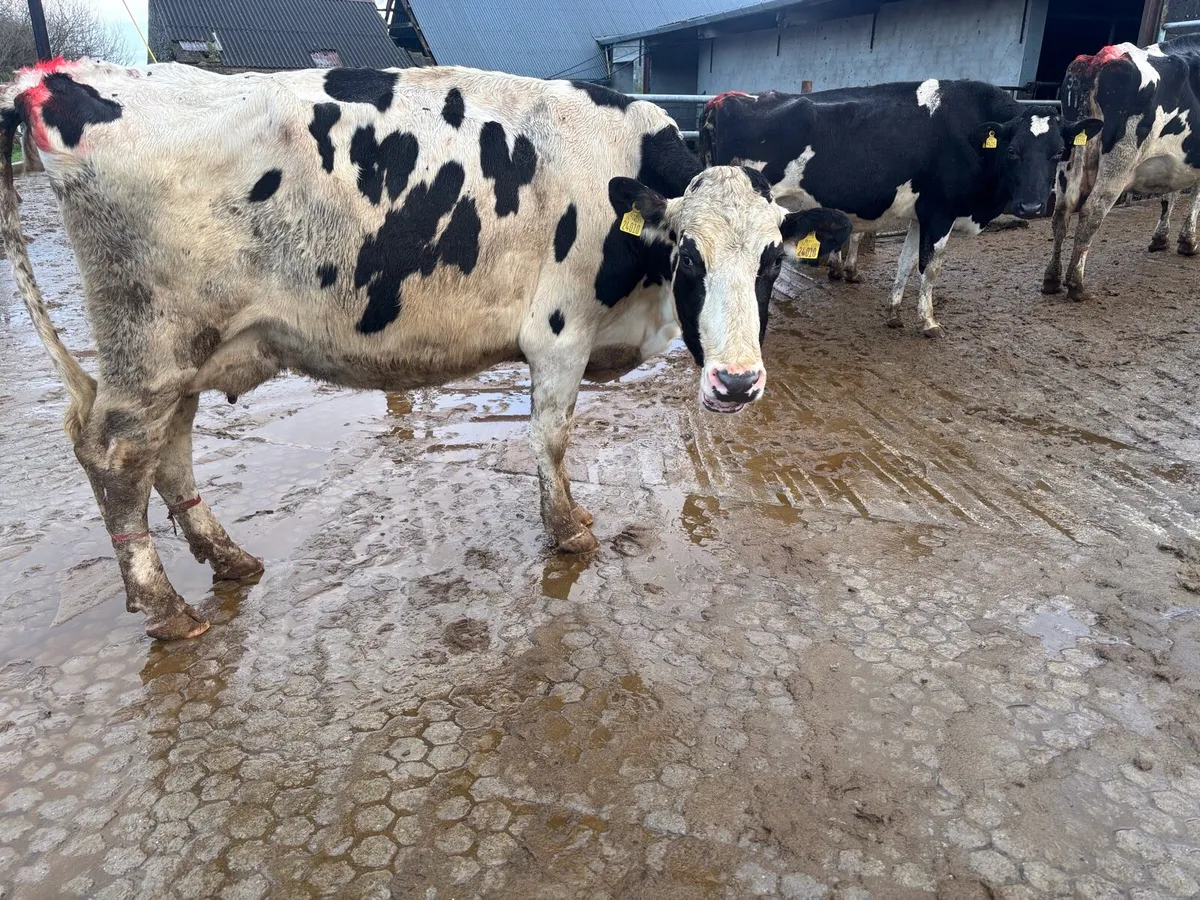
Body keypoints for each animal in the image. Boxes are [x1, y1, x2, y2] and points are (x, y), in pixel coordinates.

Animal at [0, 59, 851, 640]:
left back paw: (227, 558)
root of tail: (65, 81)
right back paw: (165, 605)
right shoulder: (559, 331)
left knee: (168, 449)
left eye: (771, 259)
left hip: (183, 350)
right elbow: (552, 436)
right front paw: (567, 530)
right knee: (116, 454)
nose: (736, 383)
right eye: (688, 258)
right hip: (151, 339)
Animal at [701, 81, 1102, 335]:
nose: (1032, 206)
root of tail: (726, 99)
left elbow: (907, 263)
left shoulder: (920, 216)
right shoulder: (941, 213)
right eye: (1013, 151)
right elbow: (931, 266)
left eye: (1058, 152)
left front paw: (894, 313)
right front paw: (928, 322)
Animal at [1045, 37, 1200, 300]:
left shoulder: (1176, 162)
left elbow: (1170, 195)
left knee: (1061, 213)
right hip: (1119, 163)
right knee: (1091, 213)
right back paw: (1076, 284)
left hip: (1069, 159)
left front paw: (1161, 239)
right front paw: (1188, 242)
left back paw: (1052, 279)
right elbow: (1193, 198)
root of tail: (1099, 60)